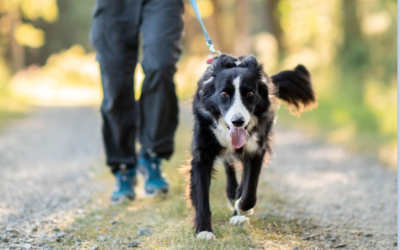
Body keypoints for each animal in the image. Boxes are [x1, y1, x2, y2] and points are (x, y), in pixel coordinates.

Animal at [188, 53, 316, 239]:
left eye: (249, 93)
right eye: (224, 93)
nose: (238, 121)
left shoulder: (256, 149)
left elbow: (250, 190)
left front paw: (242, 208)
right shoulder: (202, 154)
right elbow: (202, 194)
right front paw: (204, 230)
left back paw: (238, 209)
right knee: (229, 166)